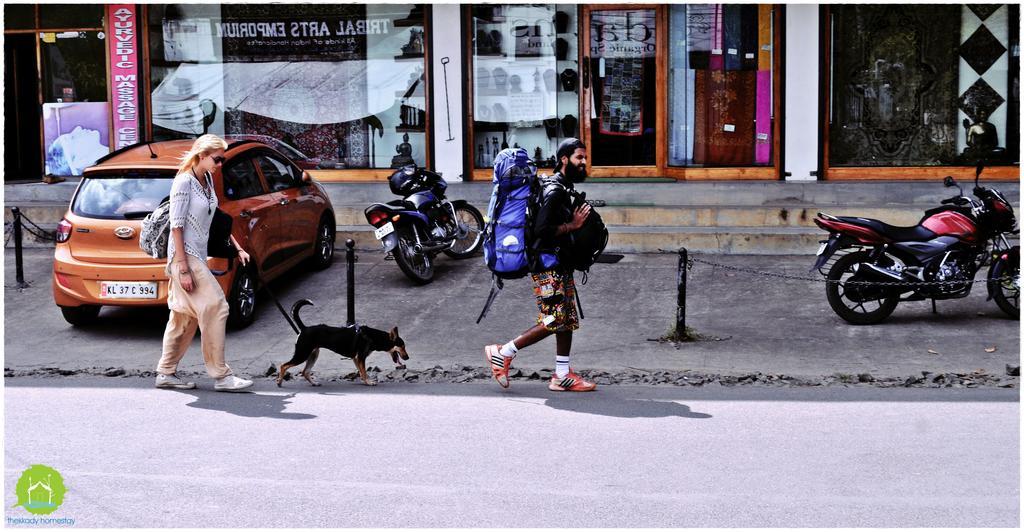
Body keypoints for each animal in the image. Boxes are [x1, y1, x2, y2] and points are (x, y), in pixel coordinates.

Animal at [280, 298, 411, 386]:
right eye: (402, 346)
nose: (408, 357)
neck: (372, 336)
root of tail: (304, 328)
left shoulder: (356, 358)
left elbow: (361, 372)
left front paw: (365, 381)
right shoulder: (361, 357)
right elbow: (364, 372)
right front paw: (369, 382)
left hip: (313, 354)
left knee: (305, 372)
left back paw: (314, 383)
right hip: (302, 354)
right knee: (284, 365)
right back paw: (279, 382)